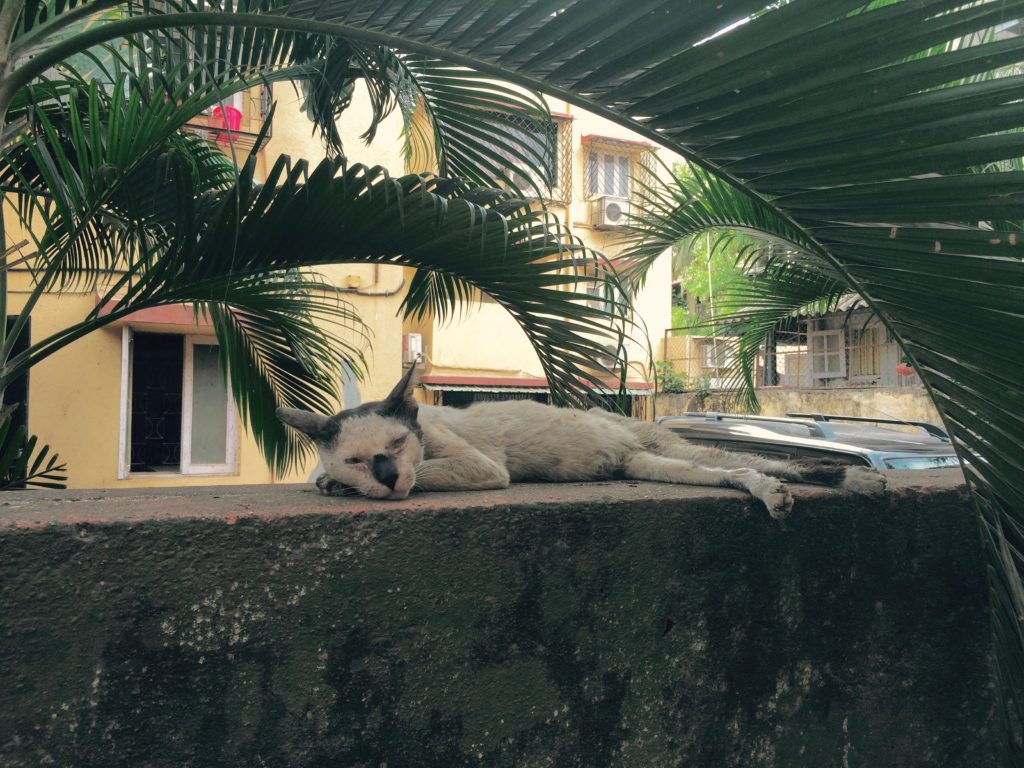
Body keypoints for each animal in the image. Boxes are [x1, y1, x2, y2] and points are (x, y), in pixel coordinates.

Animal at [276, 364, 884, 520]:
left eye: (400, 443)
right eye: (357, 458)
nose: (386, 476)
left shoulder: (481, 468)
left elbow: (428, 474)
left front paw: (340, 487)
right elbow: (322, 477)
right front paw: (335, 484)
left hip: (677, 449)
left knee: (775, 462)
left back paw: (859, 477)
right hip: (655, 466)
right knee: (741, 474)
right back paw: (769, 494)